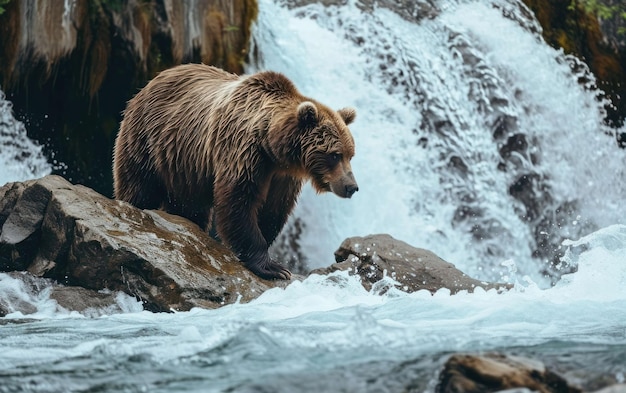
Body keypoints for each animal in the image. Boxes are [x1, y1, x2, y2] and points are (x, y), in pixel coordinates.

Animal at [112, 63, 356, 278]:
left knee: (188, 206)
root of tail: (153, 80)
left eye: (350, 154)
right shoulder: (243, 152)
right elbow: (238, 201)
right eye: (335, 155)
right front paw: (273, 267)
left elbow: (273, 210)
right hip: (147, 140)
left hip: (183, 168)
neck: (274, 147)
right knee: (140, 186)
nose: (351, 187)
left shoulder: (282, 176)